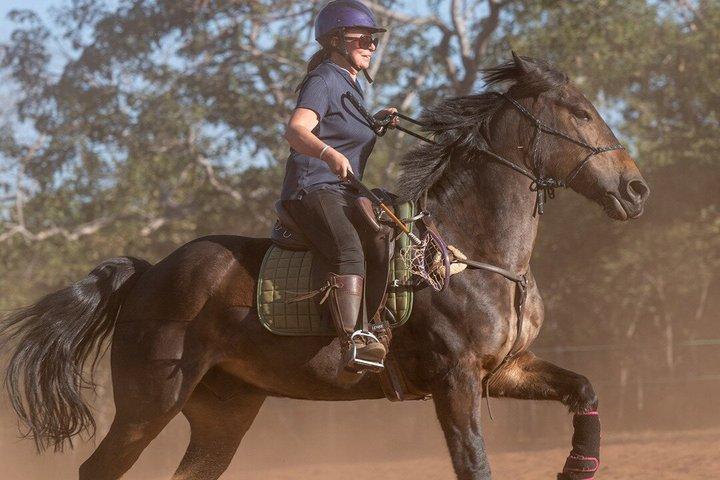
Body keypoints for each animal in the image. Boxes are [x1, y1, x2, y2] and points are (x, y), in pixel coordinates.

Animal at [0, 54, 649, 480]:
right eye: (579, 113)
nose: (636, 189)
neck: (473, 256)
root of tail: (148, 274)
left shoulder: (506, 368)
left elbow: (584, 388)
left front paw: (579, 466)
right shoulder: (455, 379)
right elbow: (476, 465)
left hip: (223, 412)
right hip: (148, 404)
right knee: (99, 469)